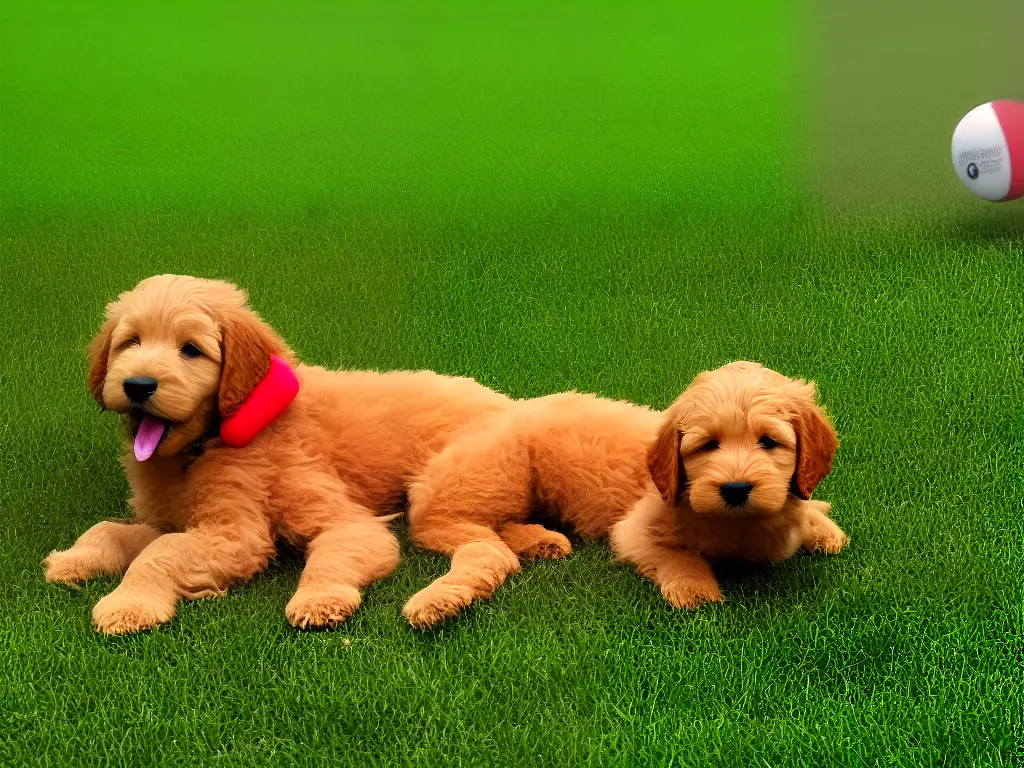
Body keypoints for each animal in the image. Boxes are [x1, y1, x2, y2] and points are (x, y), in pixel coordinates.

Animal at [44, 274, 507, 634]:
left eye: (190, 349)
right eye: (131, 342)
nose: (137, 385)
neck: (201, 448)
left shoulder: (251, 533)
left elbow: (163, 551)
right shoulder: (167, 517)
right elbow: (111, 531)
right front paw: (75, 558)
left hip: (438, 495)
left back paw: (438, 603)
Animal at [401, 364, 847, 626]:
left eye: (768, 442)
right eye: (708, 446)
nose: (735, 489)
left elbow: (806, 509)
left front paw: (822, 527)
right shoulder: (634, 530)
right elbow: (676, 556)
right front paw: (695, 590)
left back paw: (542, 541)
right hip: (492, 476)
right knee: (456, 533)